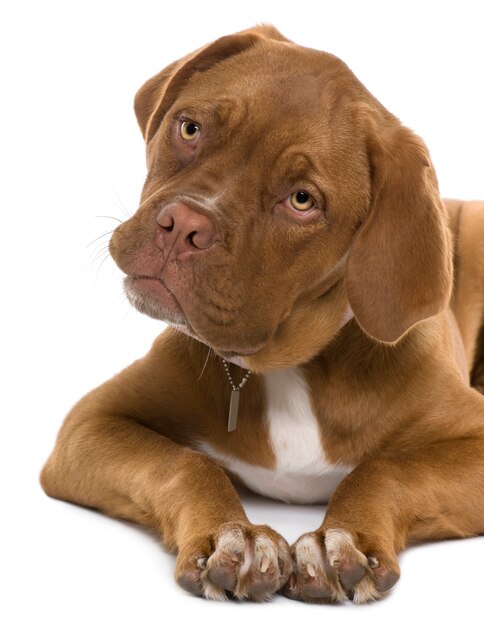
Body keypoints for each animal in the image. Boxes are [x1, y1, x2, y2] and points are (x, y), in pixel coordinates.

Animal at [40, 25, 484, 604]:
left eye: (301, 201)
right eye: (189, 128)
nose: (184, 226)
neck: (284, 367)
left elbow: (389, 468)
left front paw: (343, 538)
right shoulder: (91, 422)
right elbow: (184, 461)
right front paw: (233, 534)